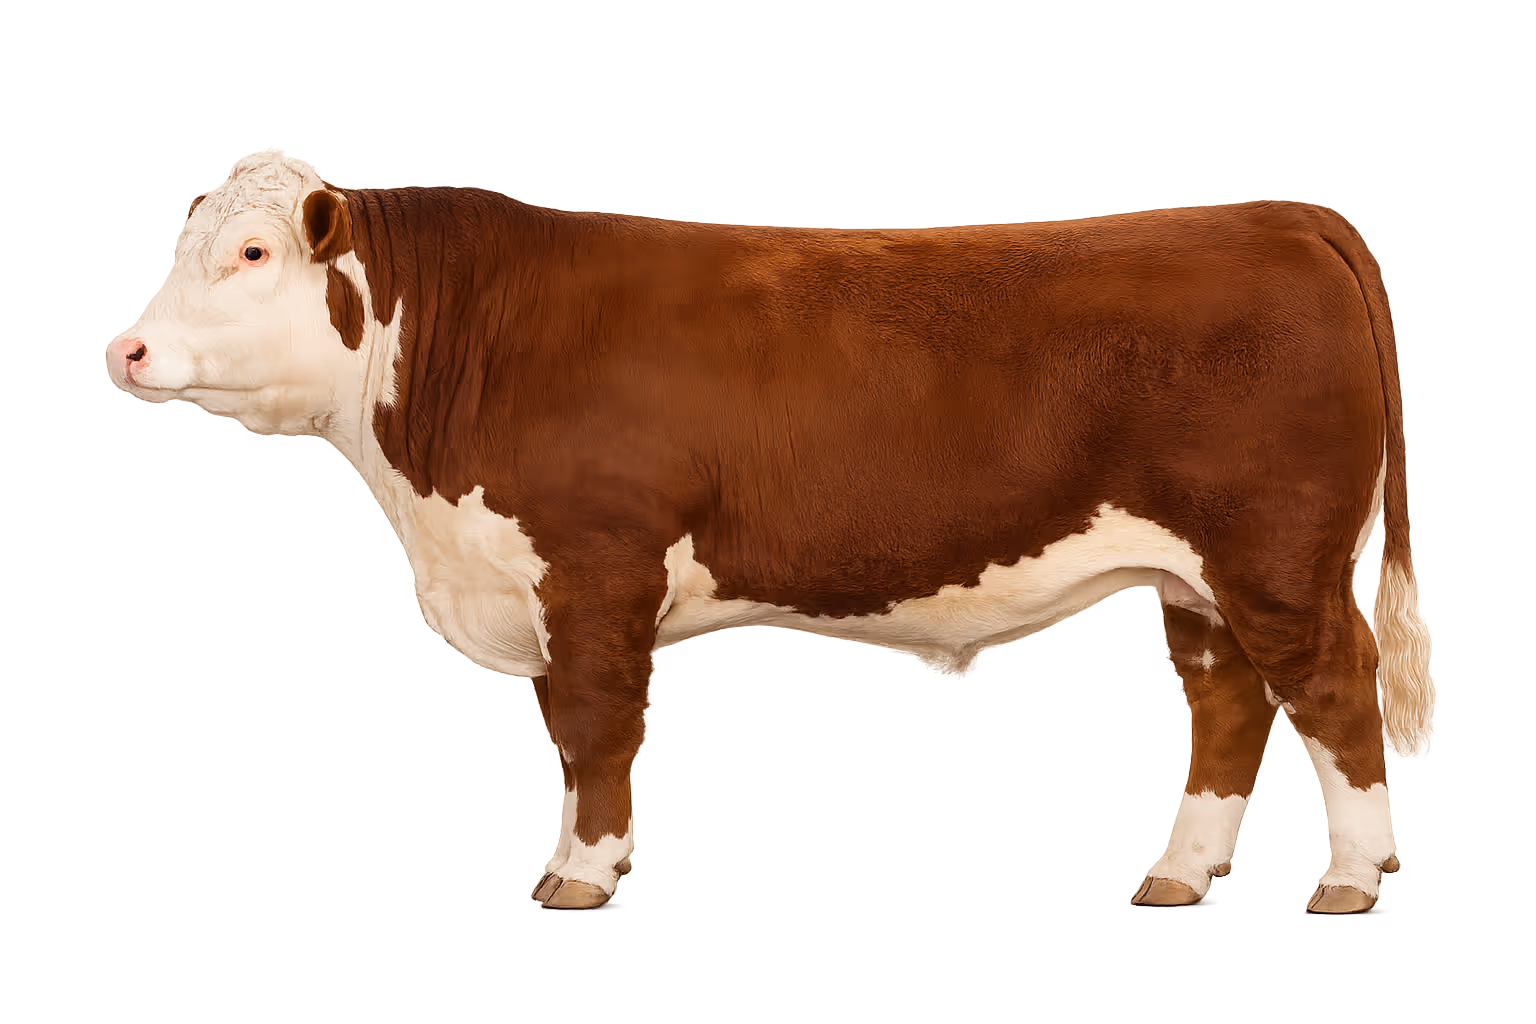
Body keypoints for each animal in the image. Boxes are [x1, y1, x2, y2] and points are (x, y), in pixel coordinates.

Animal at [108, 153, 1432, 914]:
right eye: (181, 250)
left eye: (252, 251)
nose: (126, 344)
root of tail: (1269, 212)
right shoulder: (532, 584)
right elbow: (562, 735)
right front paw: (599, 857)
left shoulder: (596, 568)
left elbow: (595, 728)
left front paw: (582, 874)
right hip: (1200, 574)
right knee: (1229, 701)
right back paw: (1182, 870)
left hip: (1276, 553)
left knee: (1334, 687)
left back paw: (1350, 875)